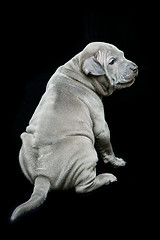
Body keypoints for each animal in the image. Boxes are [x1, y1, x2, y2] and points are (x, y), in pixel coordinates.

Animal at [10, 41, 138, 221]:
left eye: (123, 55)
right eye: (112, 61)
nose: (135, 67)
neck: (78, 70)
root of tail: (42, 176)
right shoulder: (100, 124)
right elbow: (107, 146)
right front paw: (116, 162)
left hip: (25, 142)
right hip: (86, 149)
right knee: (83, 187)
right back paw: (106, 178)